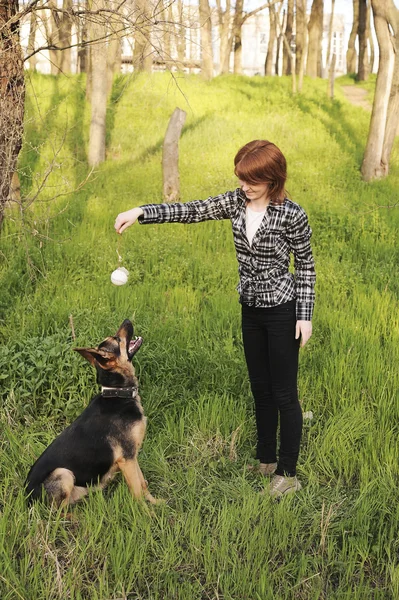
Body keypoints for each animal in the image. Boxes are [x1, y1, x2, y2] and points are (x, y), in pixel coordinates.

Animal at [23, 318, 159, 506]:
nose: (127, 320)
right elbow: (138, 492)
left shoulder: (132, 457)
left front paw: (157, 503)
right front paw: (147, 512)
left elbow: (143, 483)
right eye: (117, 339)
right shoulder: (127, 459)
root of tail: (26, 497)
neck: (117, 393)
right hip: (63, 473)